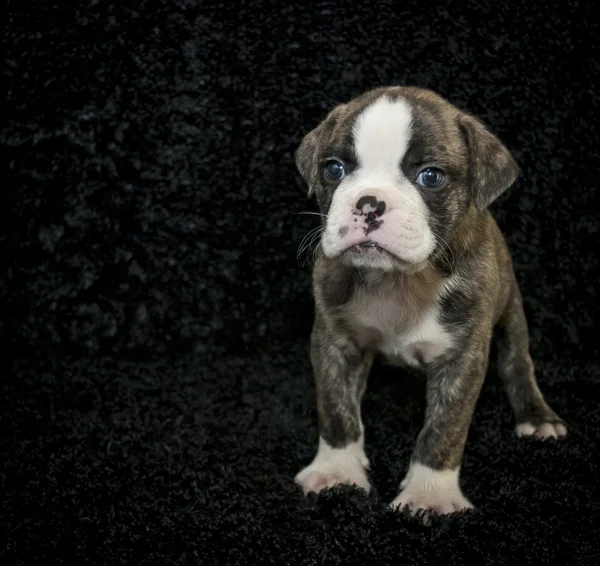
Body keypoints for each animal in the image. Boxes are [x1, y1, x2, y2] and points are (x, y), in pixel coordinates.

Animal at [296, 85, 568, 520]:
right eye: (333, 170)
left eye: (431, 177)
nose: (369, 203)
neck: (400, 281)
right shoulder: (334, 342)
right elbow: (336, 408)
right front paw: (337, 472)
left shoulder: (462, 358)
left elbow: (445, 427)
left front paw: (429, 494)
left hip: (511, 313)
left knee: (517, 364)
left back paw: (537, 417)